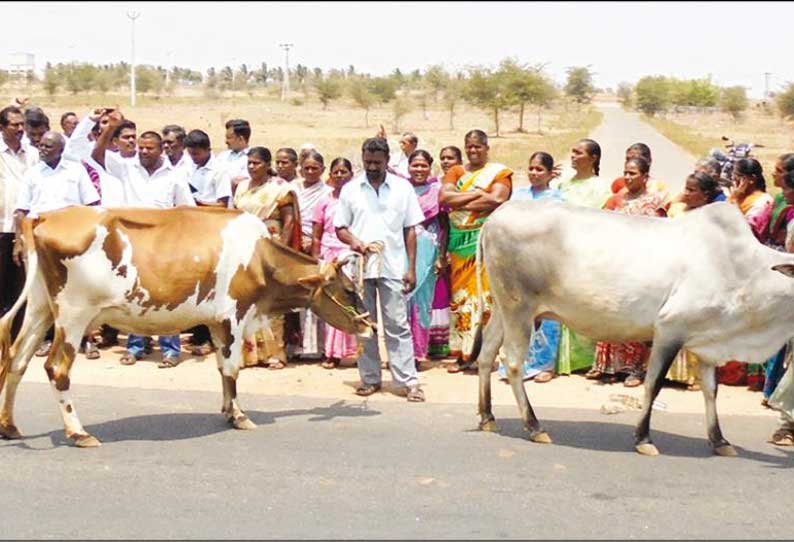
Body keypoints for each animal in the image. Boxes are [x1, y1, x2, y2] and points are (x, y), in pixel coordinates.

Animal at [0, 206, 372, 448]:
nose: (369, 326)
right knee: (56, 369)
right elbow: (233, 369)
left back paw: (9, 425)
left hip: (40, 309)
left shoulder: (217, 322)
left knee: (17, 360)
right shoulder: (234, 315)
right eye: (348, 290)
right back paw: (78, 433)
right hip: (73, 316)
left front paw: (227, 410)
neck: (259, 258)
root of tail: (43, 216)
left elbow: (223, 370)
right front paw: (239, 416)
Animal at [470, 202, 792, 456]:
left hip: (503, 309)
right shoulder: (669, 329)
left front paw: (720, 440)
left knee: (487, 354)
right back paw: (534, 426)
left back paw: (487, 416)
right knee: (512, 363)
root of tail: (495, 217)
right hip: (519, 310)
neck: (746, 271)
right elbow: (653, 384)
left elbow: (711, 391)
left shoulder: (708, 343)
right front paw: (643, 438)